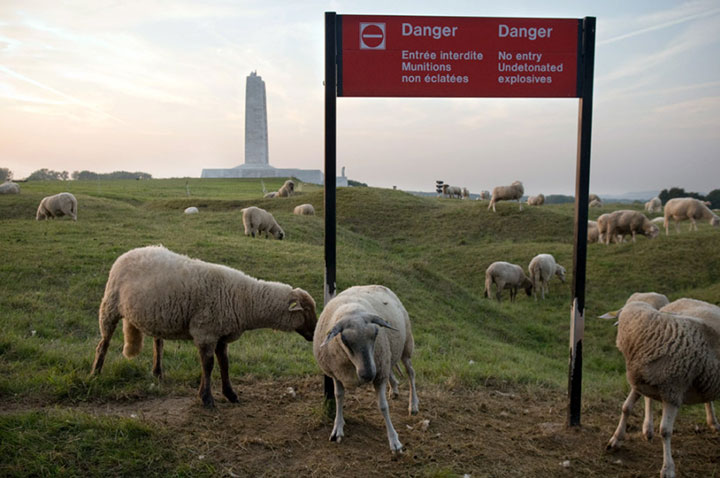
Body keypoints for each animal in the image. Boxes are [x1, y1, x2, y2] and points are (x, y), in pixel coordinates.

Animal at [89, 246, 316, 408]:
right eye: (306, 311)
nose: (314, 335)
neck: (245, 300)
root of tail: (130, 252)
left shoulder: (221, 335)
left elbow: (224, 364)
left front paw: (230, 394)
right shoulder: (205, 332)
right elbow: (208, 365)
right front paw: (206, 398)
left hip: (156, 316)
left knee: (158, 344)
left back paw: (157, 372)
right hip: (109, 305)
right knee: (103, 344)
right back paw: (95, 373)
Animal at [312, 286, 420, 454]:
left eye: (376, 333)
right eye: (344, 340)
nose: (368, 374)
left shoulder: (379, 373)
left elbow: (383, 406)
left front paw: (394, 441)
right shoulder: (336, 374)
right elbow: (338, 397)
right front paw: (338, 427)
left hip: (406, 346)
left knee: (411, 373)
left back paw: (413, 404)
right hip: (388, 355)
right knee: (392, 370)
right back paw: (394, 389)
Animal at [600, 294, 720, 476]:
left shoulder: (673, 392)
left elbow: (665, 431)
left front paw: (667, 468)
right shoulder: (640, 381)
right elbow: (626, 407)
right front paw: (616, 440)